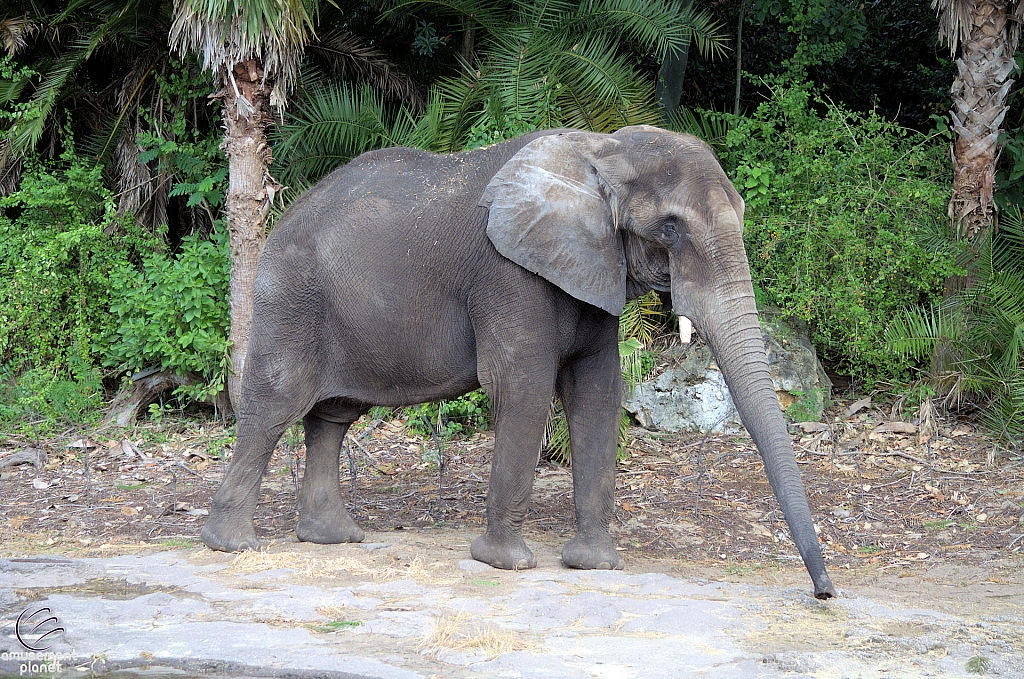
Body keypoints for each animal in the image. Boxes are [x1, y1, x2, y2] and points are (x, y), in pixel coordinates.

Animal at [201, 123, 839, 602]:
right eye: (670, 227)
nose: (825, 592)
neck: (600, 152)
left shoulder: (591, 268)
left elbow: (597, 392)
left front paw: (594, 565)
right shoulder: (508, 272)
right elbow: (524, 387)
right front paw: (505, 563)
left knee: (332, 416)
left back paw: (332, 538)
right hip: (290, 296)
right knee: (274, 406)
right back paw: (232, 545)